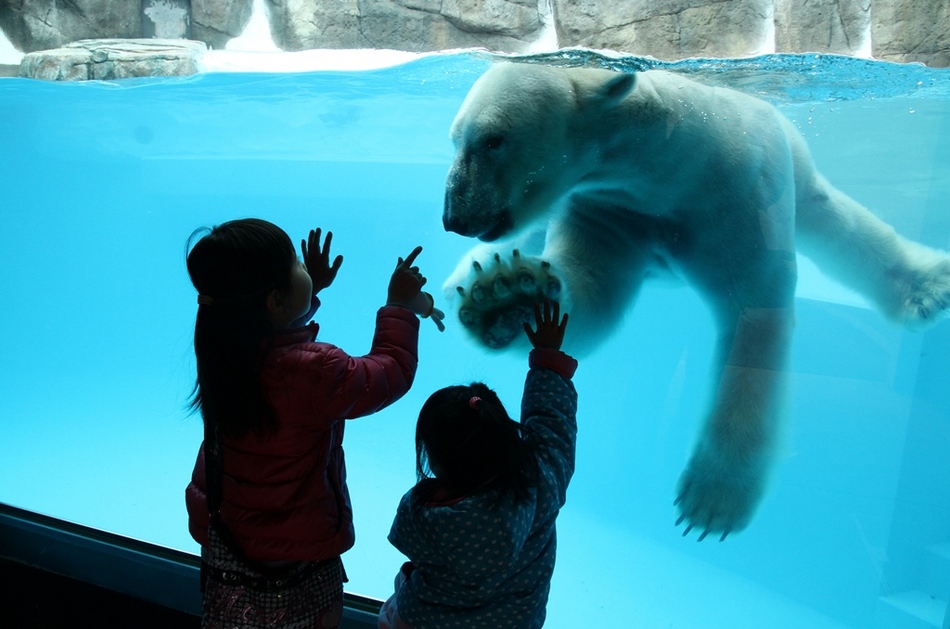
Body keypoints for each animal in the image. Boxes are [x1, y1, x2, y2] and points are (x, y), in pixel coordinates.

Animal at [444, 62, 950, 540]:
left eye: (493, 139)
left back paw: (925, 287)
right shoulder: (613, 209)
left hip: (793, 162)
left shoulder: (732, 200)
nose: (453, 217)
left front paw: (714, 498)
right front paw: (505, 297)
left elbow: (754, 314)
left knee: (831, 215)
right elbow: (591, 290)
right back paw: (460, 279)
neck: (667, 164)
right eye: (455, 140)